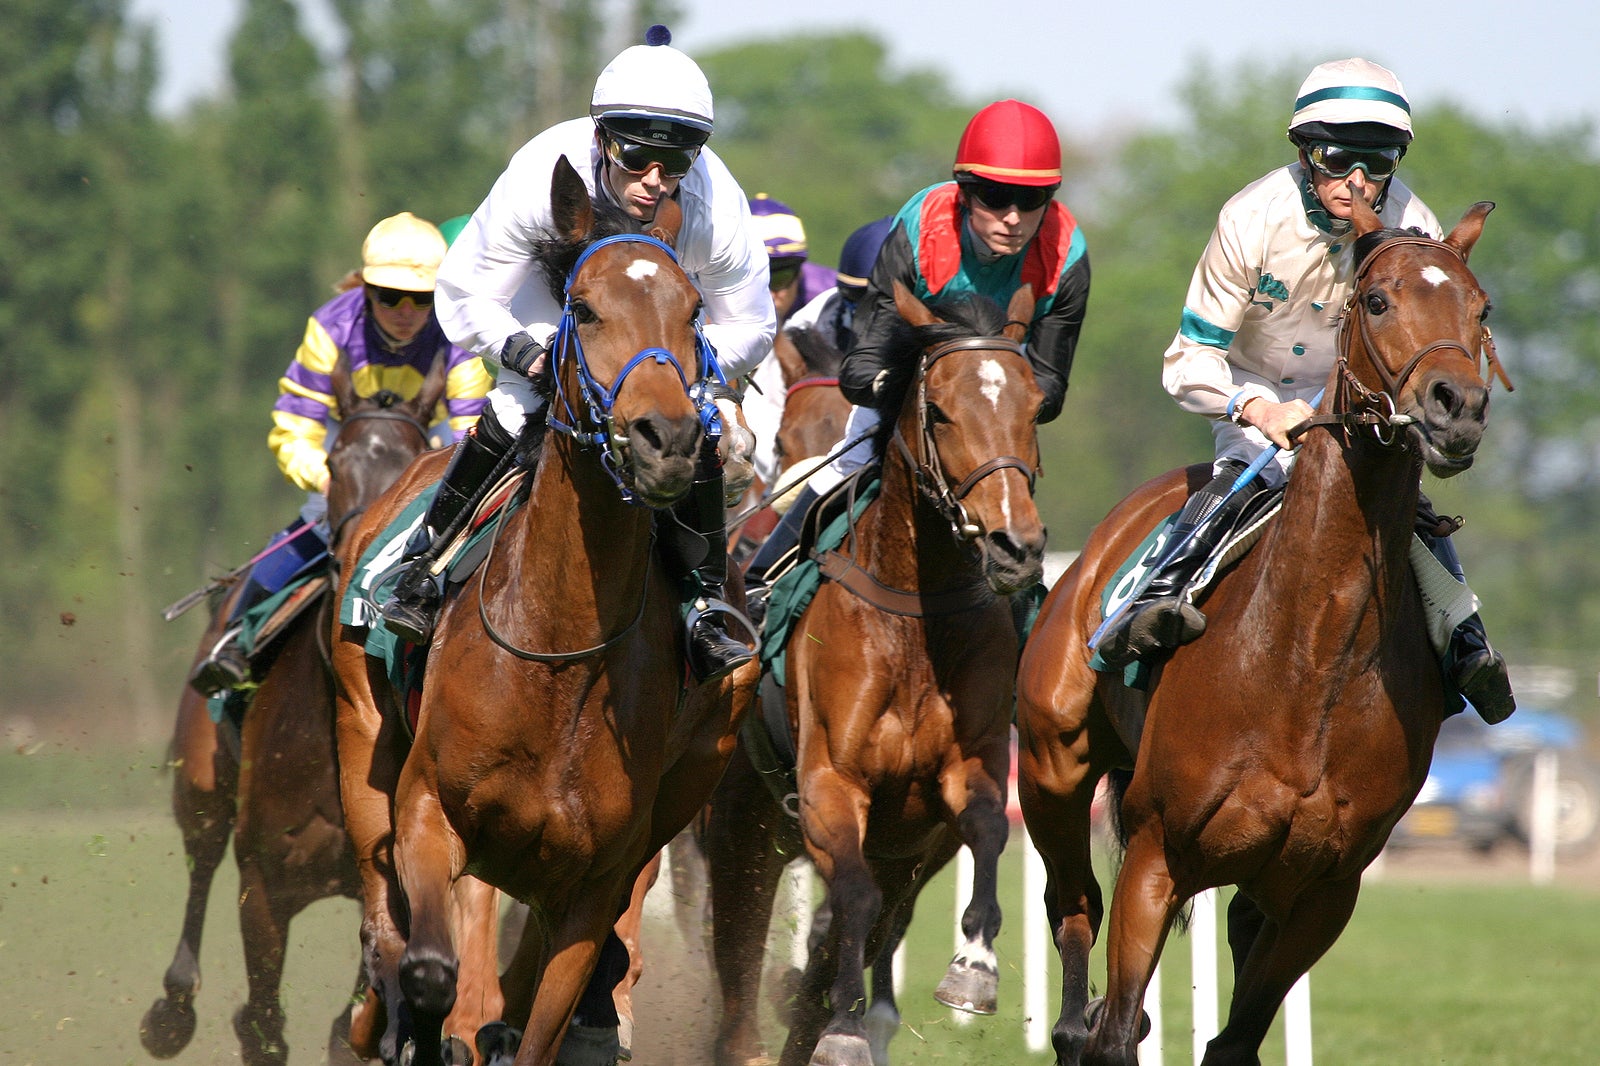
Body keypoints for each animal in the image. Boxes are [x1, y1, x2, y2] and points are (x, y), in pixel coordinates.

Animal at [140, 352, 508, 1056]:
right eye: (336, 463)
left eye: (416, 460)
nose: (362, 555)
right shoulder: (264, 883)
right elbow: (263, 1025)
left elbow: (353, 1021)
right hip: (200, 780)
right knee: (202, 855)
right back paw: (171, 1009)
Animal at [329, 156, 755, 1062]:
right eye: (583, 308)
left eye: (693, 309)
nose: (668, 438)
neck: (560, 652)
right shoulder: (429, 815)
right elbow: (429, 970)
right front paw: (416, 1026)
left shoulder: (592, 889)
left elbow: (536, 1023)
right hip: (361, 741)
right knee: (386, 933)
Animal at [707, 281, 1043, 1062]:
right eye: (941, 410)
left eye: (1034, 405)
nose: (1015, 546)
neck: (913, 622)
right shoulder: (830, 783)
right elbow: (851, 899)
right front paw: (845, 1030)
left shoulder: (959, 781)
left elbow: (988, 829)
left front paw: (973, 970)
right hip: (736, 834)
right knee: (738, 982)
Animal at [1017, 199, 1504, 1062]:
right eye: (1377, 301)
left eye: (1480, 310)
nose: (1458, 408)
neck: (1307, 659)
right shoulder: (1156, 854)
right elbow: (1116, 1028)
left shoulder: (1321, 893)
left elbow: (1234, 1040)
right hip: (1052, 771)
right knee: (1073, 920)